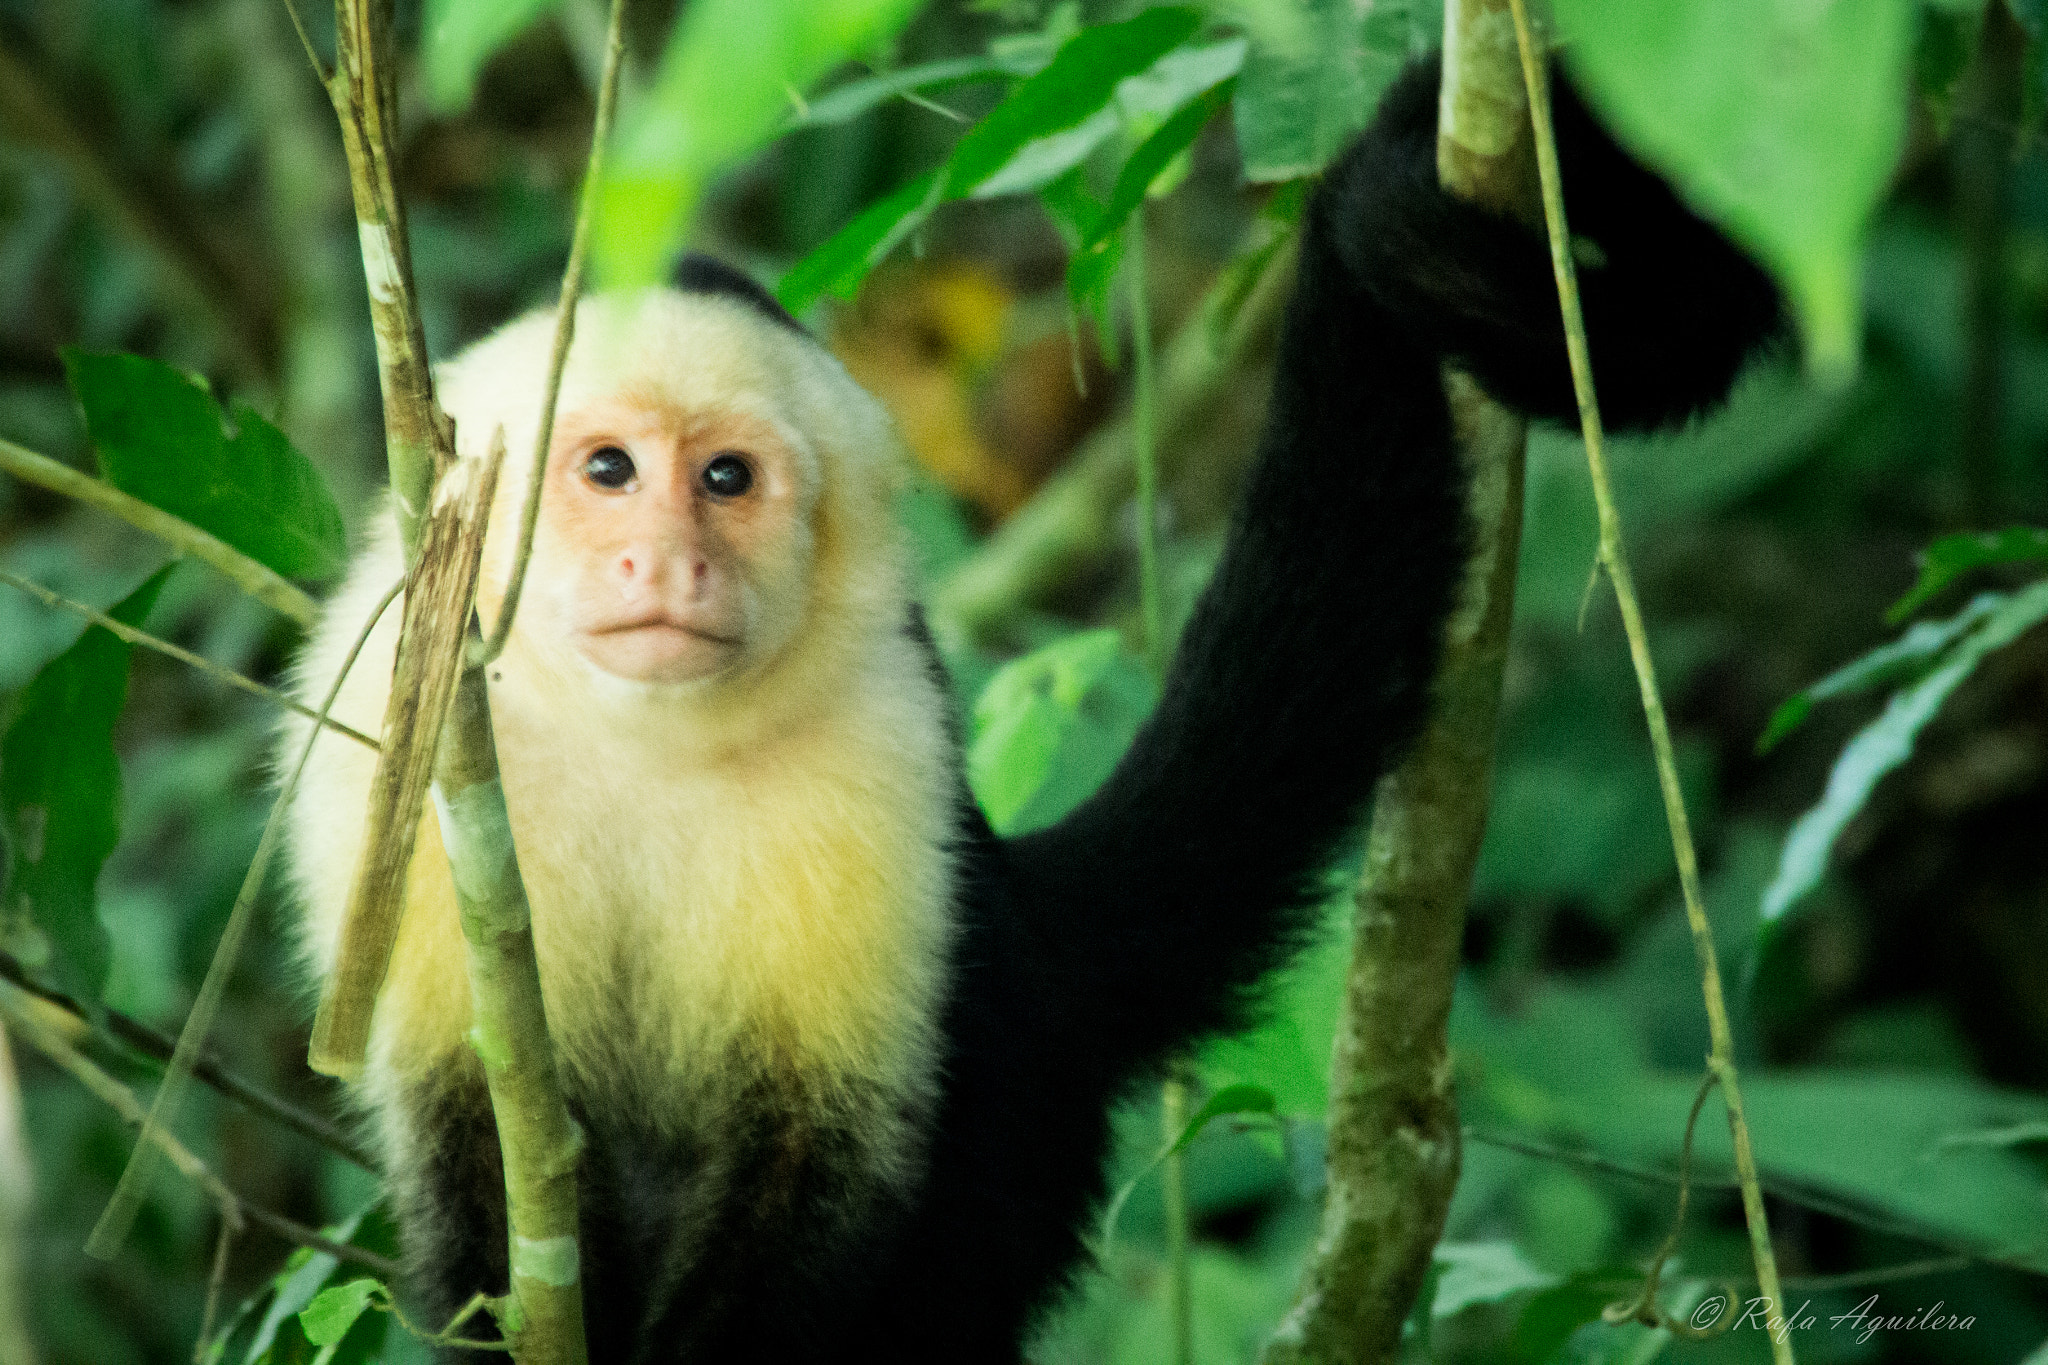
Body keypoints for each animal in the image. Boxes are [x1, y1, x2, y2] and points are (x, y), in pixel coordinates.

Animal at [279, 57, 1778, 1365]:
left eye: (724, 479)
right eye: (606, 471)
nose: (670, 562)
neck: (637, 738)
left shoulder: (880, 750)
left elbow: (821, 1159)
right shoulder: (393, 731)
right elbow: (462, 1146)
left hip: (1020, 1102)